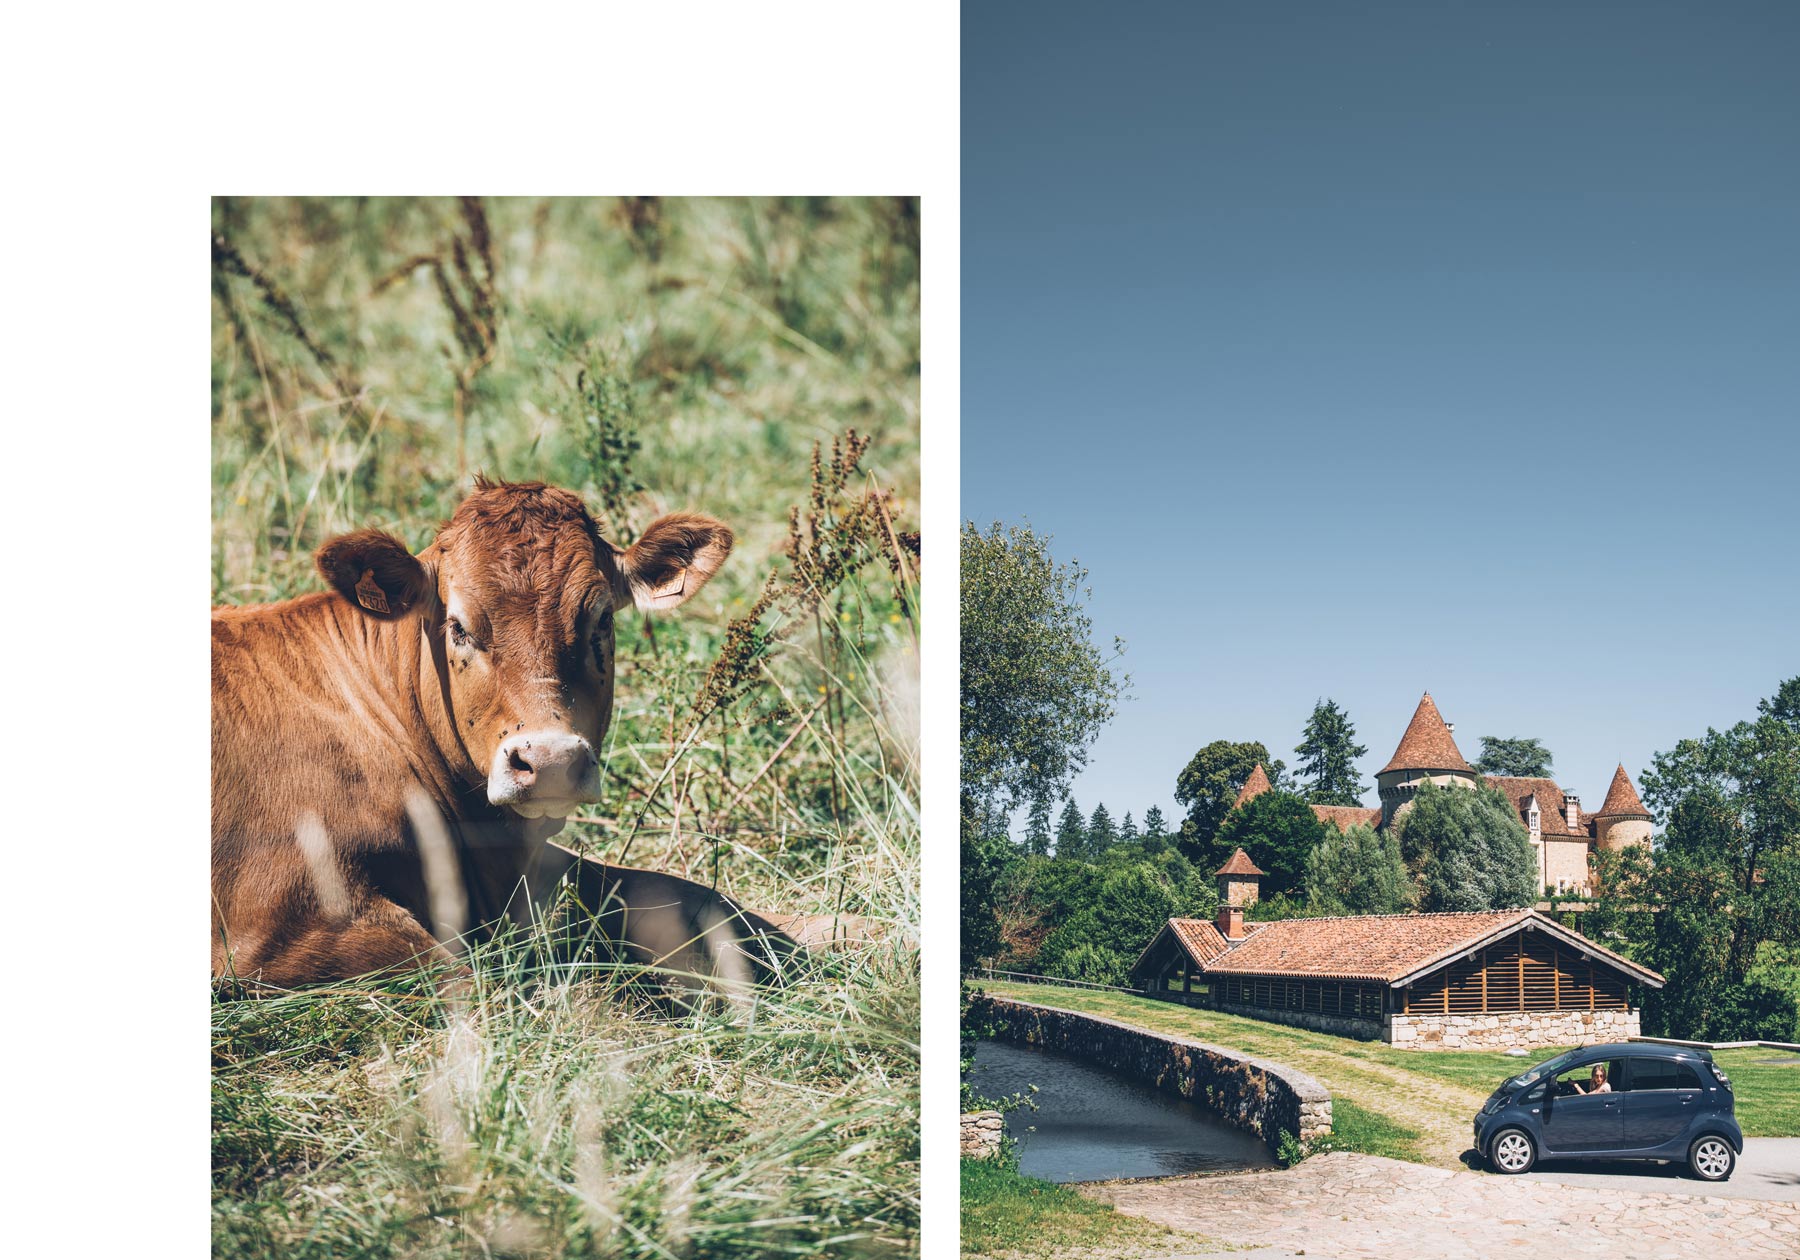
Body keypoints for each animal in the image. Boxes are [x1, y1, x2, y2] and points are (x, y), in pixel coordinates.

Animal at [212, 478, 759, 986]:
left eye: (602, 619)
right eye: (458, 627)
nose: (551, 762)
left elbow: (691, 894)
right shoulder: (278, 925)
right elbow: (464, 978)